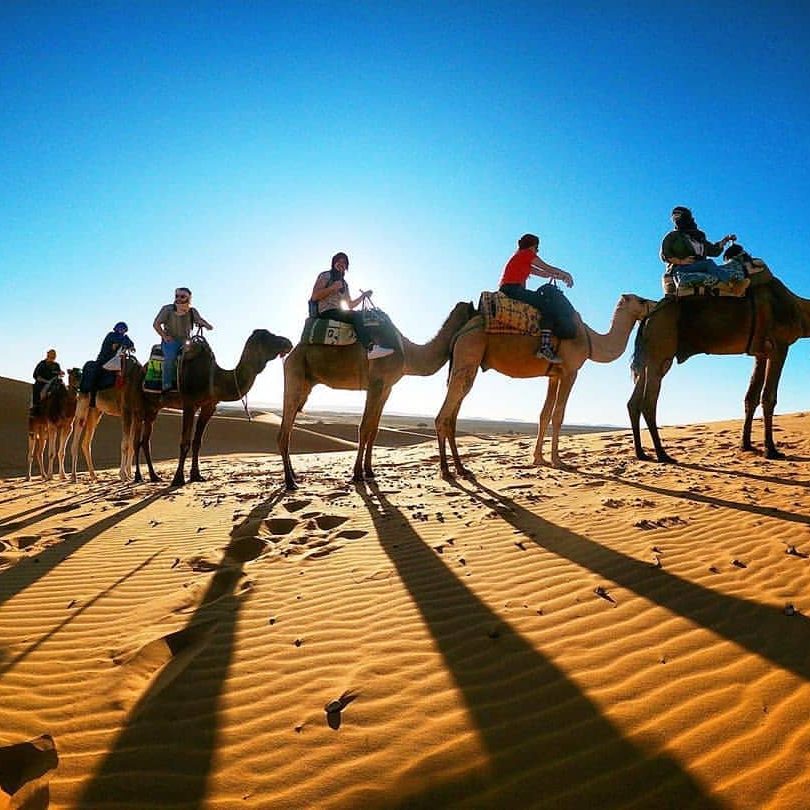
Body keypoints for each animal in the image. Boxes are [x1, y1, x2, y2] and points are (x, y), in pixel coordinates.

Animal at [134, 330, 292, 486]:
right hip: (140, 404)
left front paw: (196, 475)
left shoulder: (209, 406)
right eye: (268, 337)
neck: (214, 378)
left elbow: (197, 442)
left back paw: (154, 476)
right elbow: (185, 442)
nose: (287, 342)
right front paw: (178, 479)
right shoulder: (189, 404)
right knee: (136, 440)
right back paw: (138, 476)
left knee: (145, 441)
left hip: (153, 408)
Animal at [280, 296, 474, 486]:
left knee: (289, 427)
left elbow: (374, 429)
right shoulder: (375, 384)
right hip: (295, 374)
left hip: (306, 383)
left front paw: (369, 471)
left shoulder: (386, 388)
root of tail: (291, 353)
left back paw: (294, 476)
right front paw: (357, 474)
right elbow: (364, 427)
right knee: (285, 430)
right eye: (475, 310)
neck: (406, 352)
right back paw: (290, 481)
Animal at [432, 294, 652, 476]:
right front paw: (558, 461)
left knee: (453, 413)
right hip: (470, 349)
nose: (655, 303)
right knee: (444, 415)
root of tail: (462, 330)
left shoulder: (553, 375)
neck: (591, 341)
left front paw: (539, 458)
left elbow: (544, 414)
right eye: (641, 300)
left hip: (466, 360)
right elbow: (558, 415)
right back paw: (446, 471)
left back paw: (461, 468)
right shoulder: (570, 372)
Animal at [628, 276, 808, 460]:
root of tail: (648, 317)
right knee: (648, 401)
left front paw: (746, 445)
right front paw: (771, 450)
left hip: (648, 356)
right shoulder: (779, 345)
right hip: (660, 347)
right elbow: (769, 397)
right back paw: (662, 454)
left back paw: (641, 453)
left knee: (633, 402)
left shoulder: (761, 352)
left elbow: (751, 398)